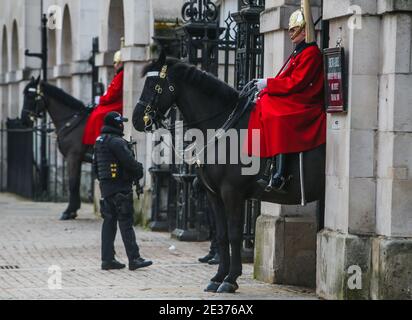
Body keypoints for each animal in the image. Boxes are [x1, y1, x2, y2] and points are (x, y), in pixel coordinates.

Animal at [21, 76, 90, 220]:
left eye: (31, 96)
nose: (24, 120)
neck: (71, 122)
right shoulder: (78, 159)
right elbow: (76, 182)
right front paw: (73, 210)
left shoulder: (73, 157)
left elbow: (72, 182)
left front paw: (69, 211)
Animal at [132, 53, 326, 294]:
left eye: (153, 85)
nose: (137, 119)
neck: (223, 128)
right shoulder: (214, 194)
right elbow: (222, 235)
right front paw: (218, 277)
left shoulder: (232, 193)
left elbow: (234, 234)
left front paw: (230, 279)